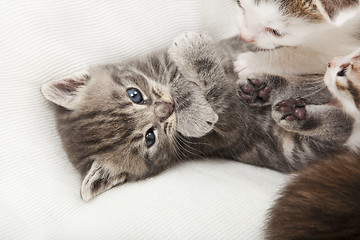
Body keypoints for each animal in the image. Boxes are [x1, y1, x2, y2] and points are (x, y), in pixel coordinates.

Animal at [41, 32, 352, 201]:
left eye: (134, 95)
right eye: (150, 138)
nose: (168, 109)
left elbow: (184, 74)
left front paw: (189, 74)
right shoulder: (227, 130)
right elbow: (220, 101)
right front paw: (197, 110)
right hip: (298, 150)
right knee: (343, 122)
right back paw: (292, 108)